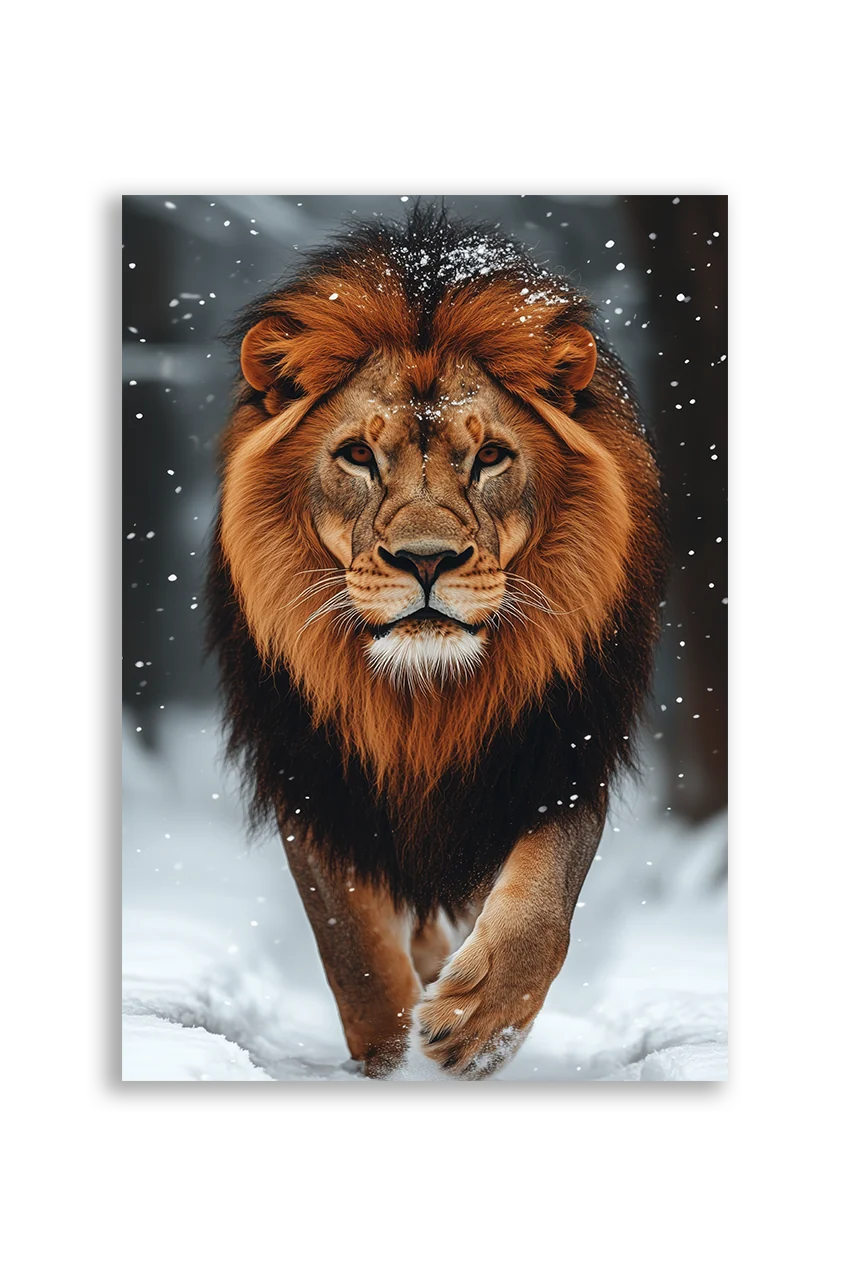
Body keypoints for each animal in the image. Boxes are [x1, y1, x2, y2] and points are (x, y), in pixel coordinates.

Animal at [207, 207, 667, 1079]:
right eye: (358, 454)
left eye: (488, 456)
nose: (426, 560)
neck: (424, 694)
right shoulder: (316, 776)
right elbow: (350, 946)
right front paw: (390, 1057)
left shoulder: (555, 751)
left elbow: (542, 906)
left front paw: (479, 1027)